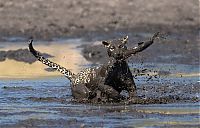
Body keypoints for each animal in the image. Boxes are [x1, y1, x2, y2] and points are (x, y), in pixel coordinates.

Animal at [28, 32, 160, 103]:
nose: (118, 54)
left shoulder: (130, 86)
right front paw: (119, 97)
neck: (119, 67)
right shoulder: (102, 84)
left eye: (121, 46)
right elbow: (109, 89)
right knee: (88, 95)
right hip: (83, 91)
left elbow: (133, 95)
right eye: (112, 48)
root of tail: (74, 76)